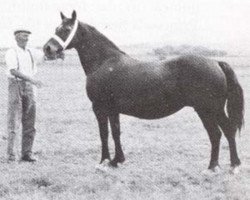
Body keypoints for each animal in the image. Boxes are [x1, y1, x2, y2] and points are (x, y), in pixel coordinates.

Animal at [43, 10, 244, 172]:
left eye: (66, 29)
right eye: (56, 28)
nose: (48, 48)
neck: (104, 62)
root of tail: (216, 62)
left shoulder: (99, 108)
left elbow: (104, 134)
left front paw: (103, 162)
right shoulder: (113, 110)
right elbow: (115, 132)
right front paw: (117, 161)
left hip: (208, 109)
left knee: (219, 133)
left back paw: (216, 167)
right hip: (210, 110)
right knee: (224, 131)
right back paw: (228, 165)